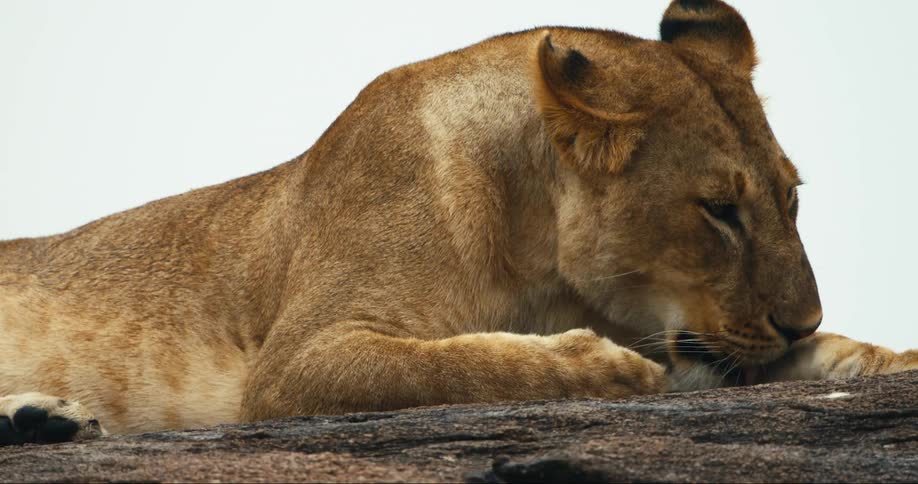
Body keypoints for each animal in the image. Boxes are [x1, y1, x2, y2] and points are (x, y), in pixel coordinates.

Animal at [1, 0, 916, 445]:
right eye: (719, 210)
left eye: (791, 199)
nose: (803, 317)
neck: (542, 263)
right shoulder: (294, 362)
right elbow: (455, 365)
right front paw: (603, 369)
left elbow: (815, 360)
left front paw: (883, 357)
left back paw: (44, 421)